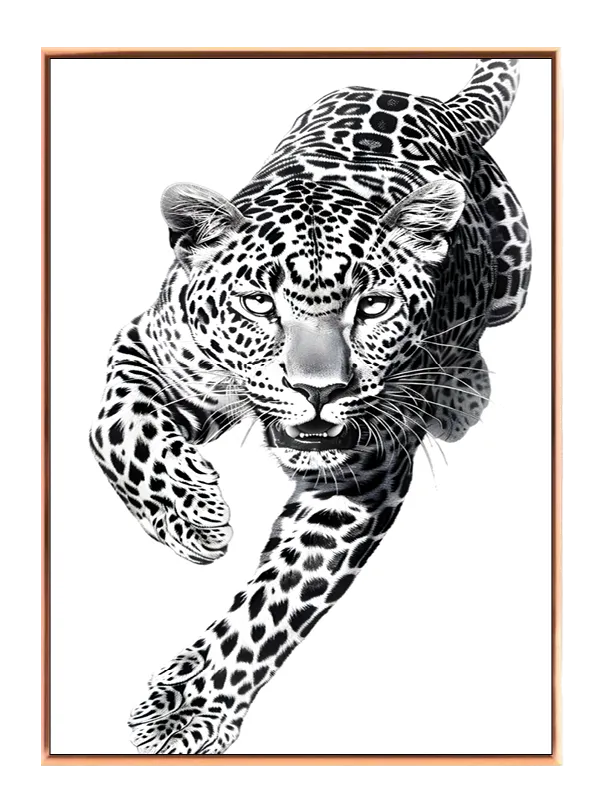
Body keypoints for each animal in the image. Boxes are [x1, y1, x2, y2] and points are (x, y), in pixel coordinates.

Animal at [89, 58, 532, 755]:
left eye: (373, 305)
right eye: (257, 303)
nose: (319, 390)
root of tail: (436, 102)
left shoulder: (362, 477)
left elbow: (277, 601)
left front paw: (190, 709)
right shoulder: (147, 345)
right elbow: (118, 430)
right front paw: (195, 520)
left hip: (518, 278)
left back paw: (462, 396)